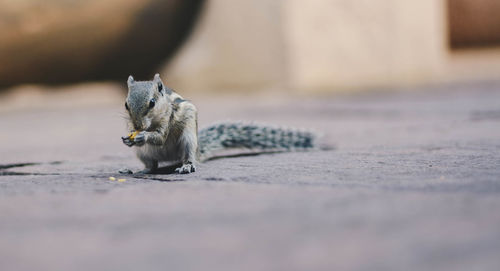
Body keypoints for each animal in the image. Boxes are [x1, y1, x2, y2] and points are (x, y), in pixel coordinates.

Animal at [121, 74, 316, 174]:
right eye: (126, 104)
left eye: (152, 103)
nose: (137, 126)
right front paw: (128, 139)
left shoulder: (168, 120)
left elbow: (160, 137)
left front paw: (143, 136)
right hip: (143, 154)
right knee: (152, 166)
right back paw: (139, 171)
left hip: (189, 141)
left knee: (188, 157)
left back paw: (187, 165)